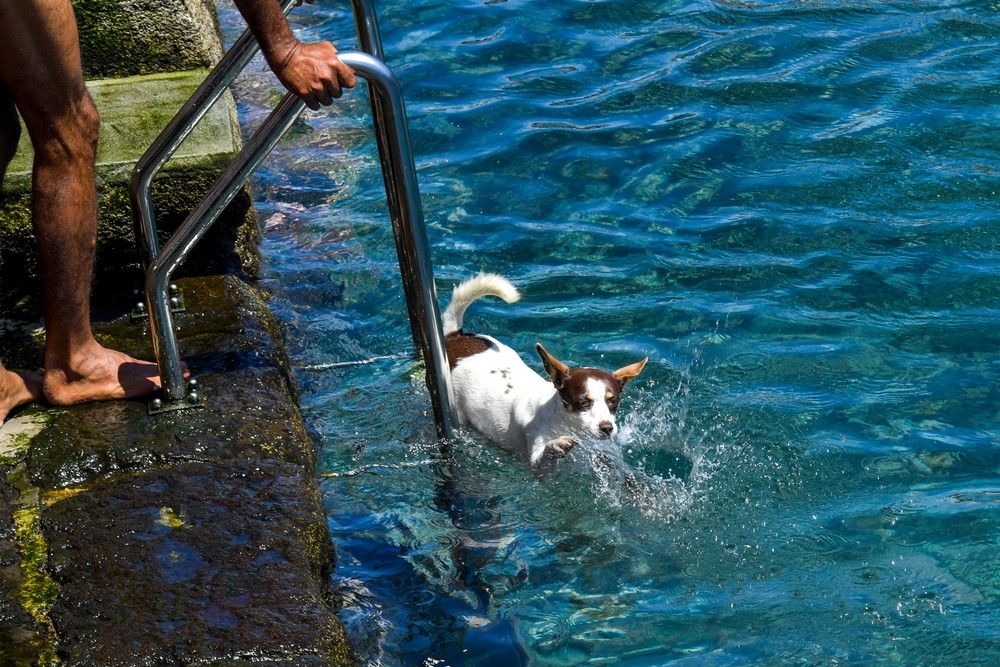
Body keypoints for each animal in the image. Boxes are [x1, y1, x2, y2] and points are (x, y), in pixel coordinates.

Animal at [440, 274, 644, 468]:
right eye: (583, 403)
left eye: (613, 401)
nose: (607, 428)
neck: (561, 420)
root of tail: (454, 337)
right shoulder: (538, 461)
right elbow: (544, 456)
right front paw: (556, 445)